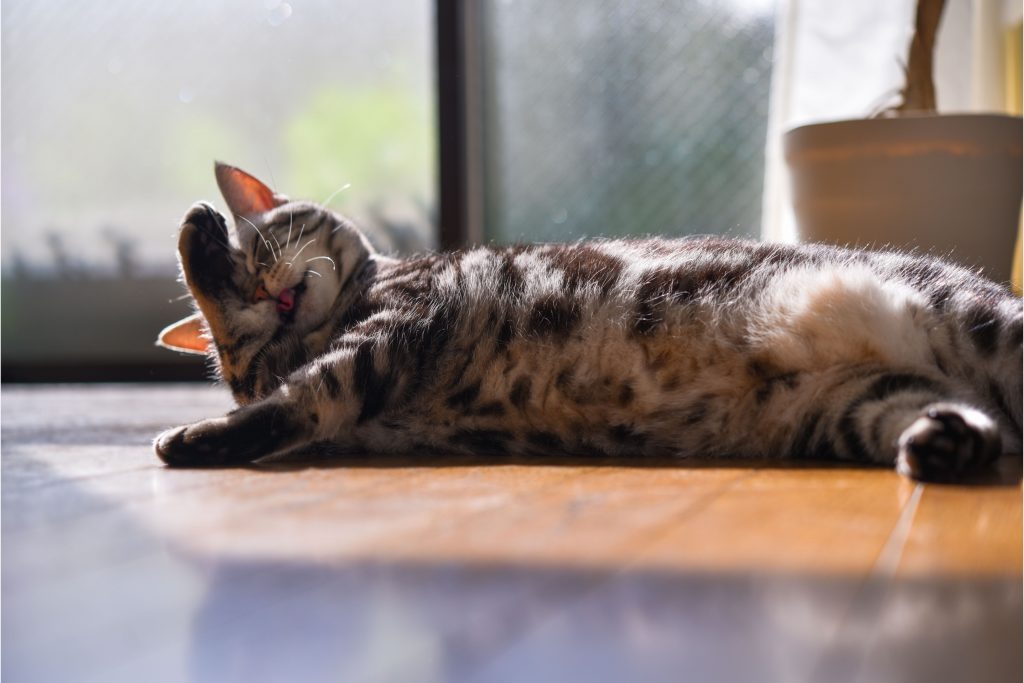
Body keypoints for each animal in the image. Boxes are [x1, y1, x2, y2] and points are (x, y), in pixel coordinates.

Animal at [153, 160, 1024, 483]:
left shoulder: (399, 326)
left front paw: (189, 436)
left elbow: (303, 397)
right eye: (239, 346)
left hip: (982, 324)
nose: (268, 292)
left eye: (262, 246)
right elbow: (296, 399)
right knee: (966, 423)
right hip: (858, 403)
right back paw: (948, 443)